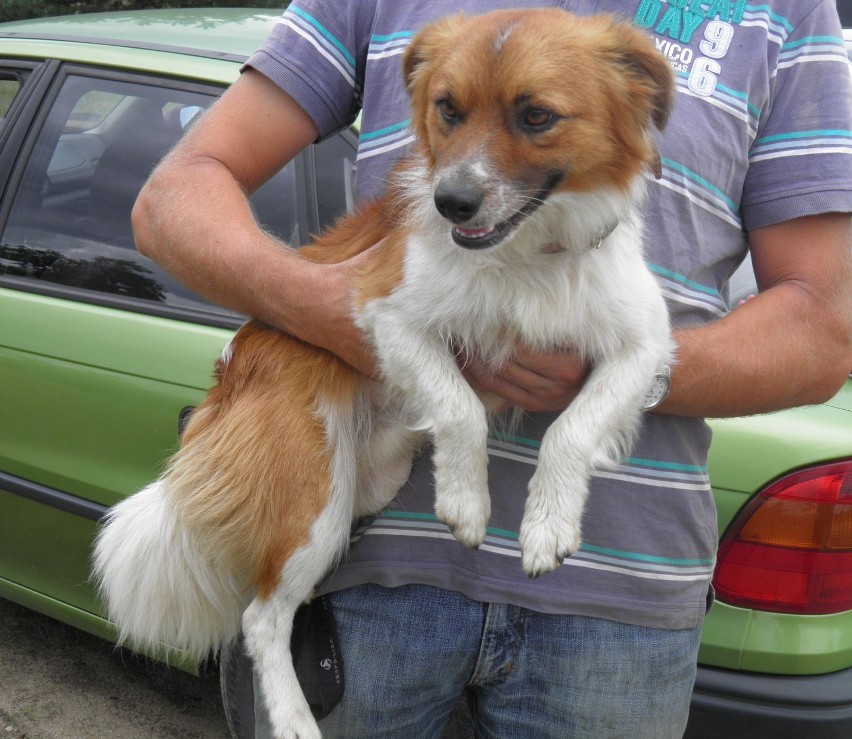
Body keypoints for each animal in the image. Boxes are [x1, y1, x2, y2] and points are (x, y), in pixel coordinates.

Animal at [93, 8, 676, 736]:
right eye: (448, 108)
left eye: (537, 116)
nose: (452, 202)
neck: (527, 253)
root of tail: (229, 376)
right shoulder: (384, 311)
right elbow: (460, 406)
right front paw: (467, 501)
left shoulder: (643, 343)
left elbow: (573, 427)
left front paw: (547, 524)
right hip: (313, 495)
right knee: (261, 615)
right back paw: (292, 716)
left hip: (365, 489)